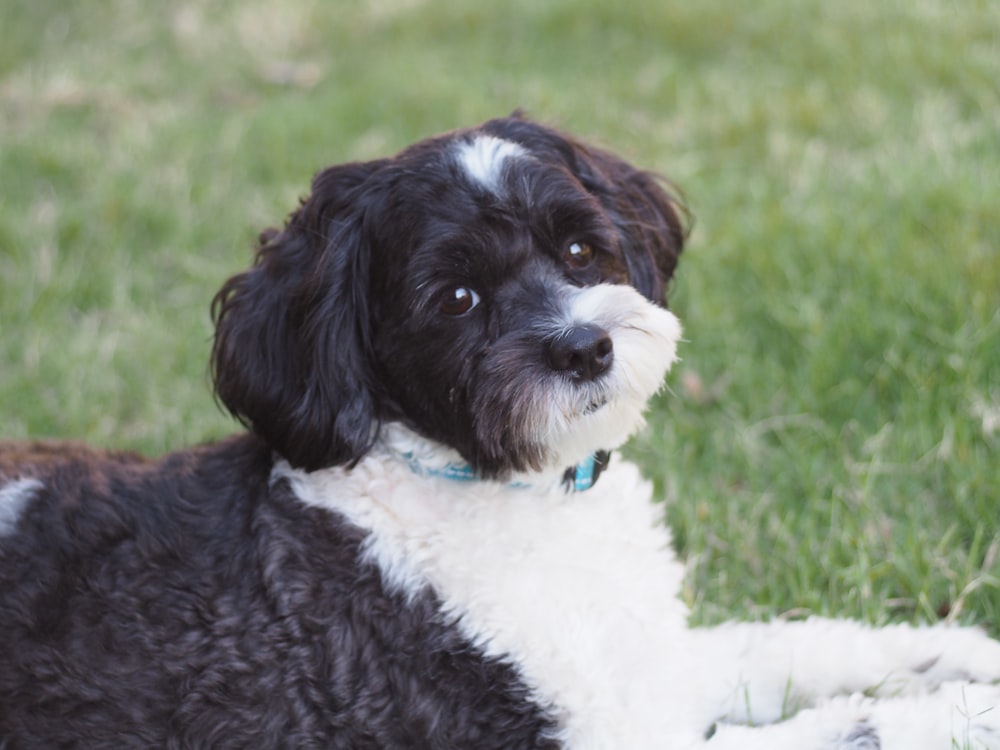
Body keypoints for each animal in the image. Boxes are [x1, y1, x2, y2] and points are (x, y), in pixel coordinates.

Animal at [1, 114, 1000, 748]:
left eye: (580, 250)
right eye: (456, 299)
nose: (585, 347)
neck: (518, 494)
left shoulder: (646, 663)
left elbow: (793, 646)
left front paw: (954, 656)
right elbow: (857, 728)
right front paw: (966, 716)